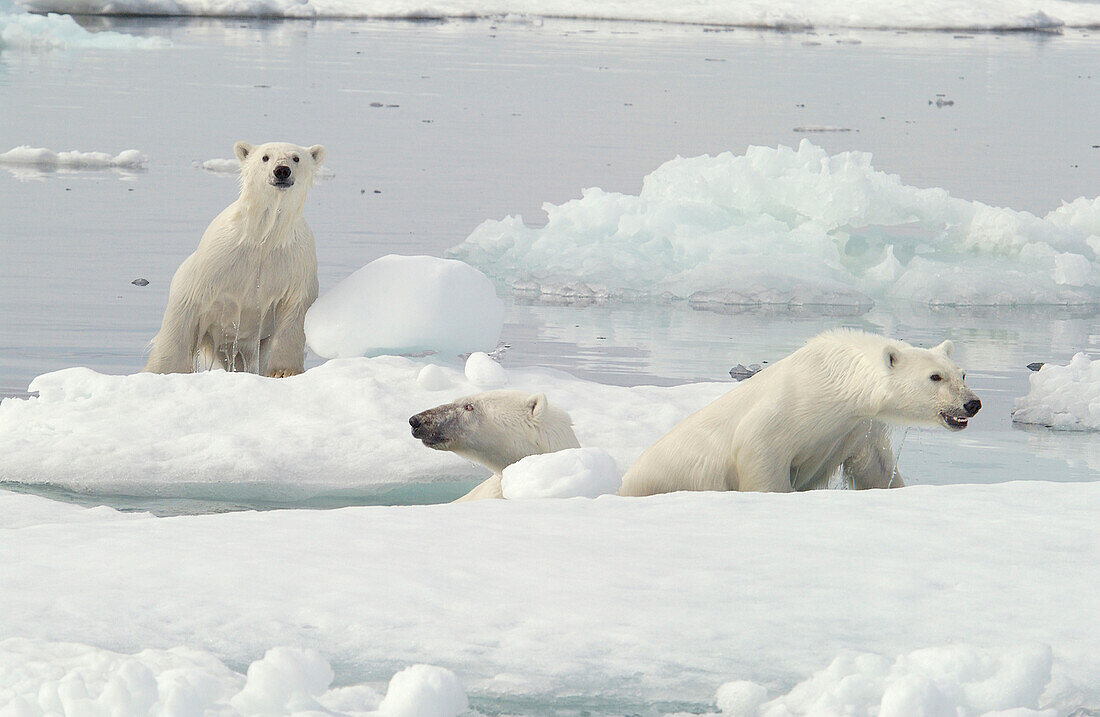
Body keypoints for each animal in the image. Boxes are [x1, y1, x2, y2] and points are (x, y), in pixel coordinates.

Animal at [141, 138, 323, 376]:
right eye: (265, 157)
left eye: (296, 158)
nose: (282, 170)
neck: (263, 237)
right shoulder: (215, 261)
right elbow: (185, 308)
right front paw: (163, 370)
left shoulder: (295, 263)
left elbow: (295, 311)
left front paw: (284, 371)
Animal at [620, 329, 981, 492]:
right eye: (935, 377)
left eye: (962, 374)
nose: (972, 404)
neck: (834, 380)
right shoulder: (785, 410)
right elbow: (760, 454)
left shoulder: (857, 426)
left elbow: (874, 467)